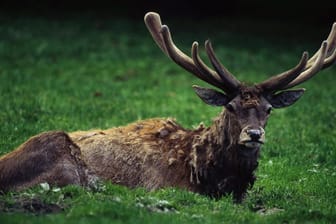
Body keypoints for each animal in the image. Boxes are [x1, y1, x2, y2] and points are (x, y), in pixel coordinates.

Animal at [0, 11, 334, 201]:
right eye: (230, 107)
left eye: (268, 110)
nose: (253, 134)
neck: (208, 175)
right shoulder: (163, 186)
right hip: (60, 157)